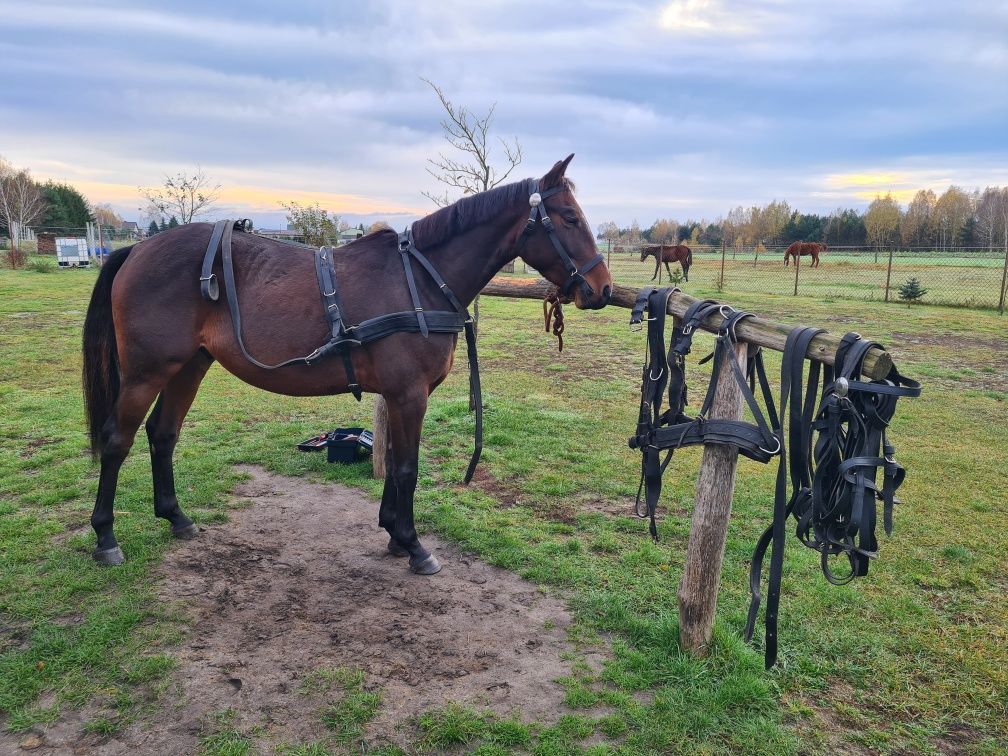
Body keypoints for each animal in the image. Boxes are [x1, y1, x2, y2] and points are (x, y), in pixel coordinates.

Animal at [78, 155, 608, 572]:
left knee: (162, 434)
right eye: (567, 217)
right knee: (117, 440)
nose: (601, 289)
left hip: (189, 366)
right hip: (146, 372)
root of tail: (136, 251)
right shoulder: (408, 394)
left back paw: (176, 517)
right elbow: (407, 467)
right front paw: (415, 547)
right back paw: (106, 537)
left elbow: (394, 459)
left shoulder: (400, 396)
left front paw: (394, 534)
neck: (419, 280)